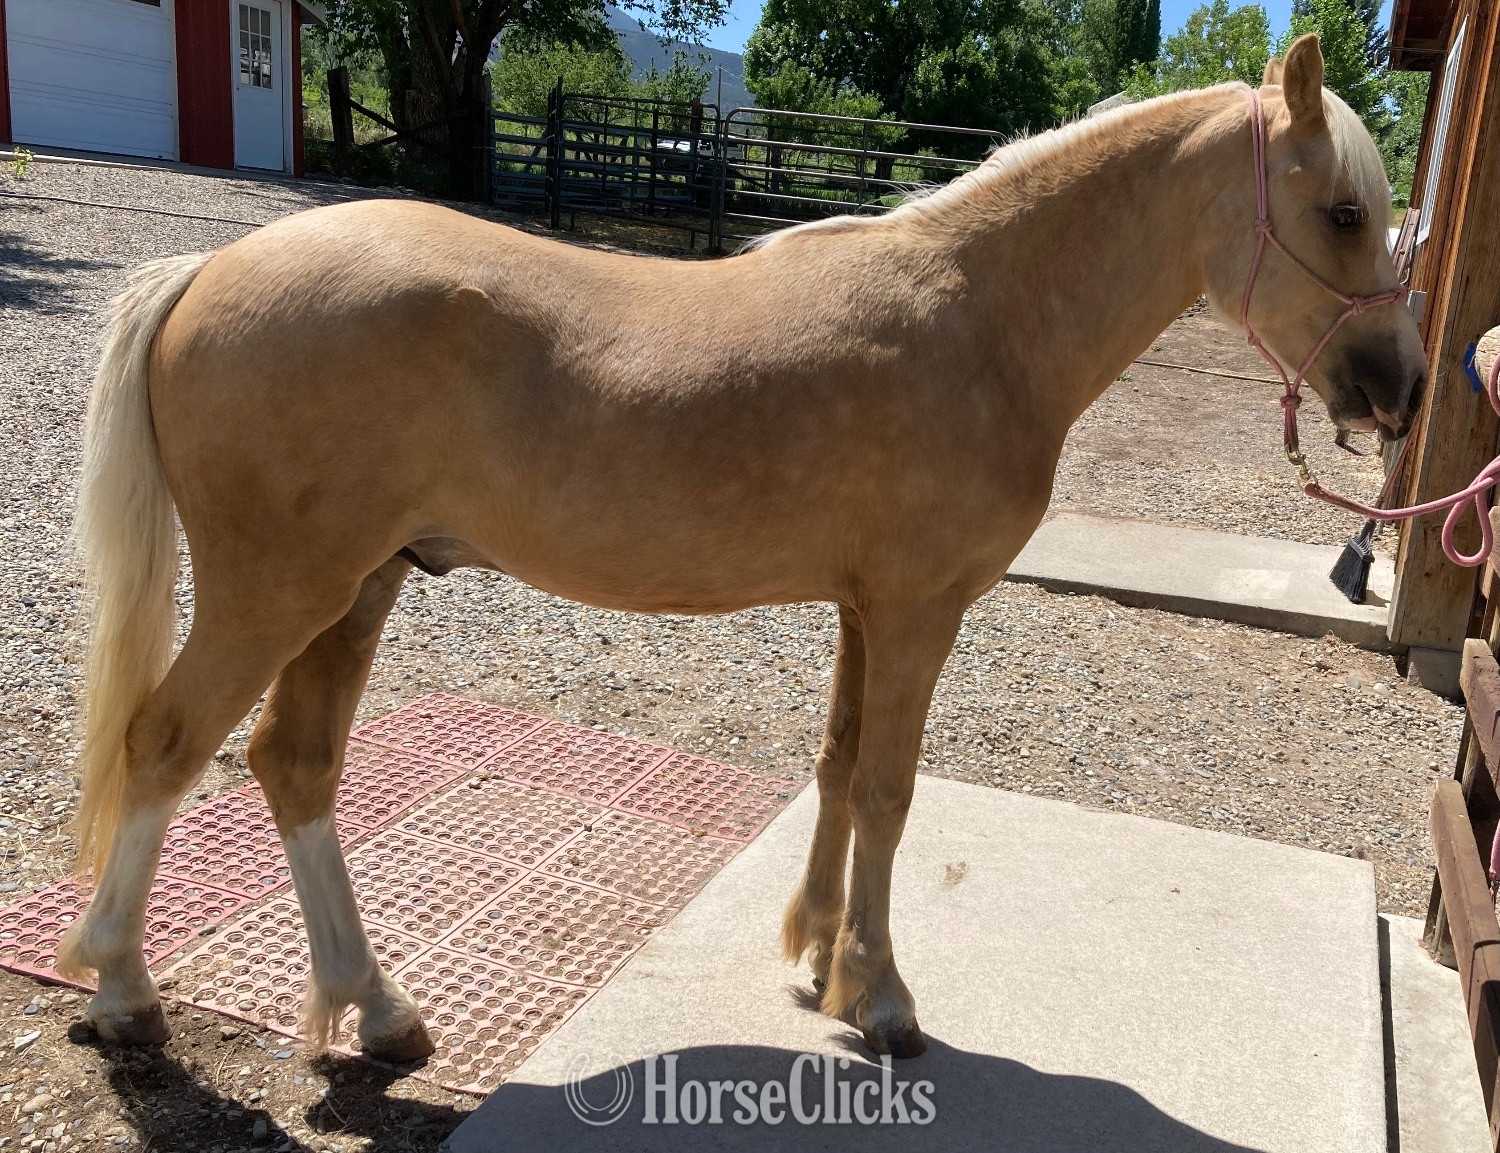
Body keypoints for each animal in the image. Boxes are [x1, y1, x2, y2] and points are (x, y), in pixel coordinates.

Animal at [57, 34, 1424, 1063]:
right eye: (1344, 211)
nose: (1400, 392)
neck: (983, 315)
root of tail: (207, 268)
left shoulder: (868, 606)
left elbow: (838, 767)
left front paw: (817, 960)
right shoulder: (921, 607)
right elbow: (889, 786)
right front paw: (881, 998)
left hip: (357, 591)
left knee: (294, 764)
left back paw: (378, 1008)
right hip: (277, 592)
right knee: (167, 744)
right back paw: (122, 989)